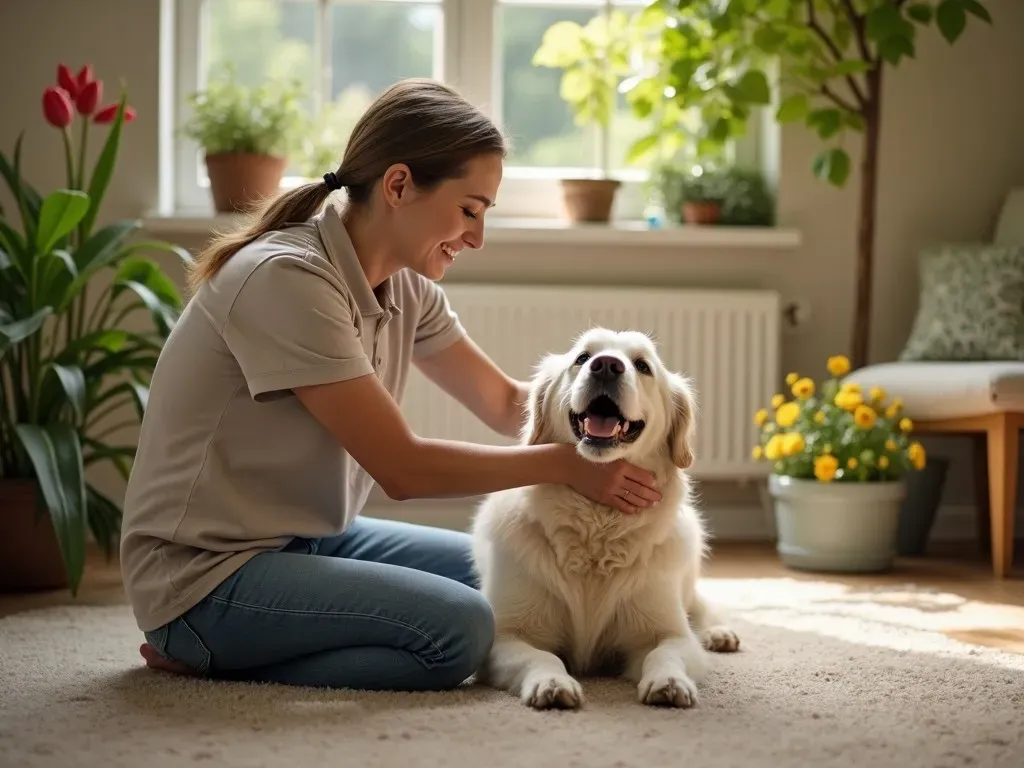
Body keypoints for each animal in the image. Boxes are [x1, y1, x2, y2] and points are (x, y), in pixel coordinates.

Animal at [468, 327, 741, 712]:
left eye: (643, 366)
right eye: (582, 358)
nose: (606, 366)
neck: (597, 525)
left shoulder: (667, 631)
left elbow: (665, 652)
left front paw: (669, 681)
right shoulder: (506, 635)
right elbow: (541, 656)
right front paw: (552, 683)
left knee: (698, 605)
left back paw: (719, 632)